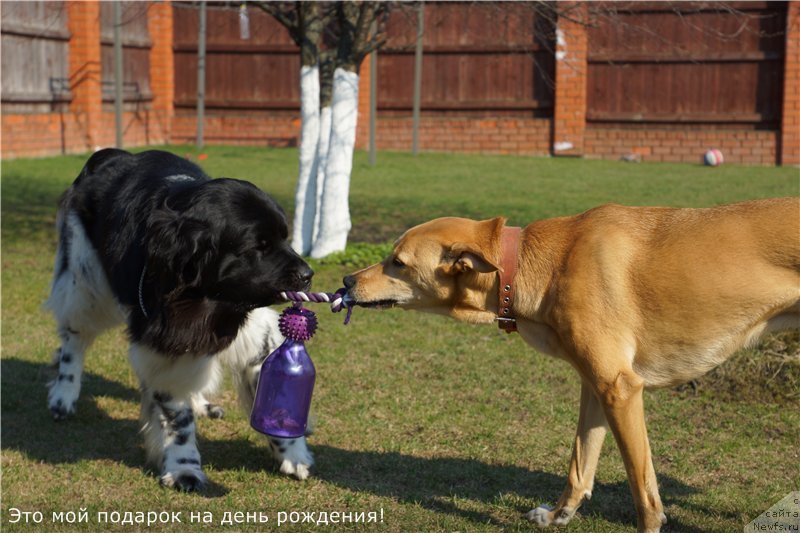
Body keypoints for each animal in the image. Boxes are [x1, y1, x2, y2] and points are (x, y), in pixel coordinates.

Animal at [45, 148, 316, 488]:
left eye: (285, 237)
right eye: (259, 246)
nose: (308, 275)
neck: (209, 299)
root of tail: (111, 154)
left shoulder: (250, 330)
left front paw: (292, 453)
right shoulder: (159, 344)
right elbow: (177, 418)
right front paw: (184, 468)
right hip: (85, 282)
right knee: (74, 339)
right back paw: (63, 395)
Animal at [344, 198, 800, 532]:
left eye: (398, 262)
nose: (347, 281)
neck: (540, 263)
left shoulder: (620, 389)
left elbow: (643, 489)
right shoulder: (596, 388)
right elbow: (580, 464)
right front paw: (557, 514)